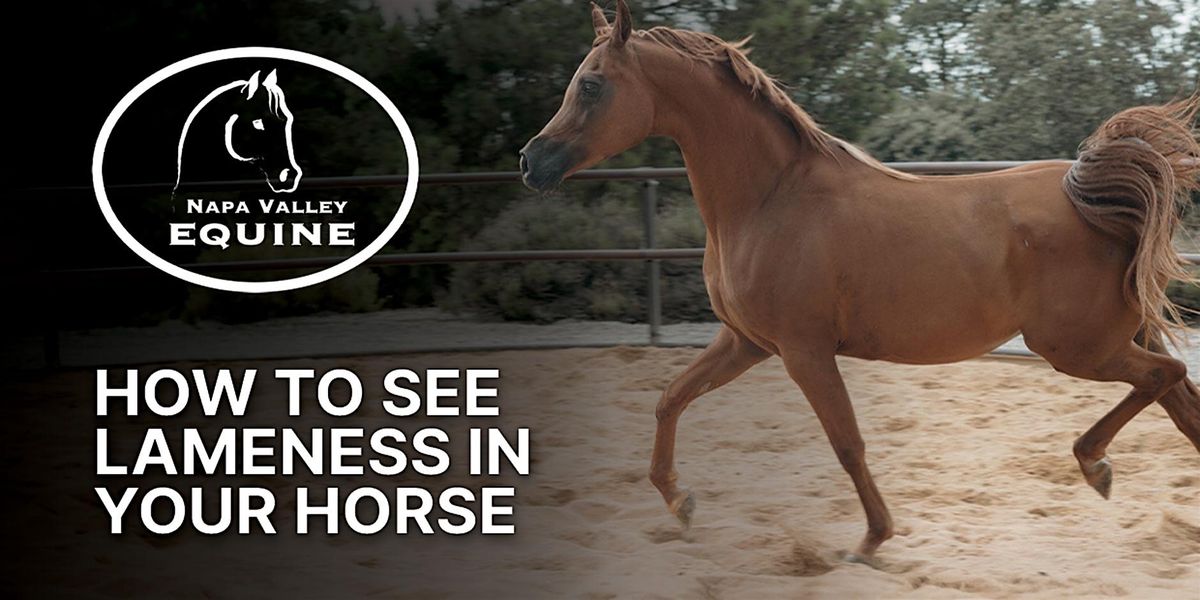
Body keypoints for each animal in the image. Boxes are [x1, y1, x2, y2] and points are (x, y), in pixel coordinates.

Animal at [520, 0, 1200, 563]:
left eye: (591, 84)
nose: (531, 162)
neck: (768, 200)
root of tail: (1090, 196)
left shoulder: (804, 351)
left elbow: (847, 443)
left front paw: (872, 540)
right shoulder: (746, 342)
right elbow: (670, 398)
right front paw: (680, 503)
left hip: (1074, 348)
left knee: (1166, 377)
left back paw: (1094, 465)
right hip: (1111, 338)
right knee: (1181, 400)